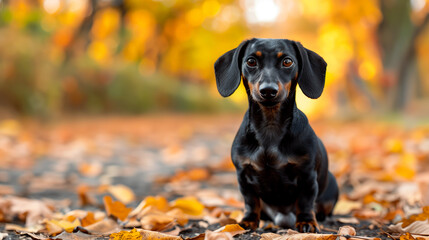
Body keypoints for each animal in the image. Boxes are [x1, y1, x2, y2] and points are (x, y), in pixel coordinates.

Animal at [214, 39, 338, 232]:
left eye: (287, 61)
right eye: (251, 61)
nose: (268, 90)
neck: (270, 126)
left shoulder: (307, 175)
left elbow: (305, 202)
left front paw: (307, 222)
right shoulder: (243, 174)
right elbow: (251, 202)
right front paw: (248, 221)